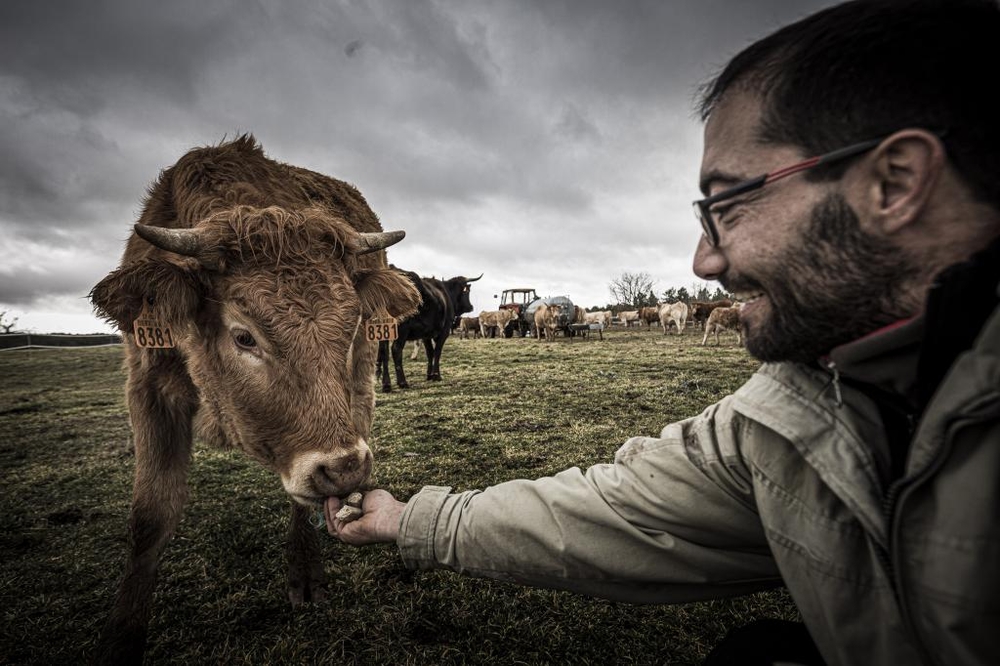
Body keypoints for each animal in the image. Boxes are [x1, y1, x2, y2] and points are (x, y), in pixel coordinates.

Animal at [82, 135, 418, 664]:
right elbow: (150, 516)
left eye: (350, 328)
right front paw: (121, 637)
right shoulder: (147, 389)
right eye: (244, 337)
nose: (344, 469)